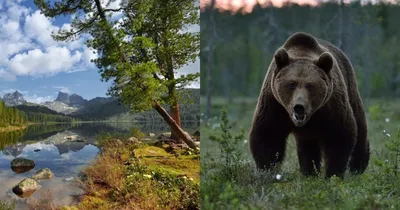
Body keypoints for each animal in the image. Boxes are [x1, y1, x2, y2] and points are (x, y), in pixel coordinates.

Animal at [248, 32, 370, 178]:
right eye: (291, 84)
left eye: (310, 85)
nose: (299, 106)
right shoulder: (274, 105)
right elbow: (268, 136)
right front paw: (267, 171)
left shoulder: (331, 107)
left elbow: (340, 135)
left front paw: (333, 174)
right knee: (308, 146)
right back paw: (309, 172)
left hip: (350, 87)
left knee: (359, 125)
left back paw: (358, 166)